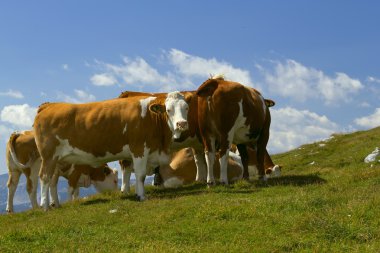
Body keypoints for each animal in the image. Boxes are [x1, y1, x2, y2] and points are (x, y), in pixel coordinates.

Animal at [32, 91, 191, 210]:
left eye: (186, 108)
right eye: (169, 110)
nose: (182, 124)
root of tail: (49, 105)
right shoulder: (139, 148)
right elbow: (140, 175)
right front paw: (141, 196)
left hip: (57, 160)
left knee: (53, 181)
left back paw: (56, 204)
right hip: (48, 156)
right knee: (44, 177)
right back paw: (45, 206)